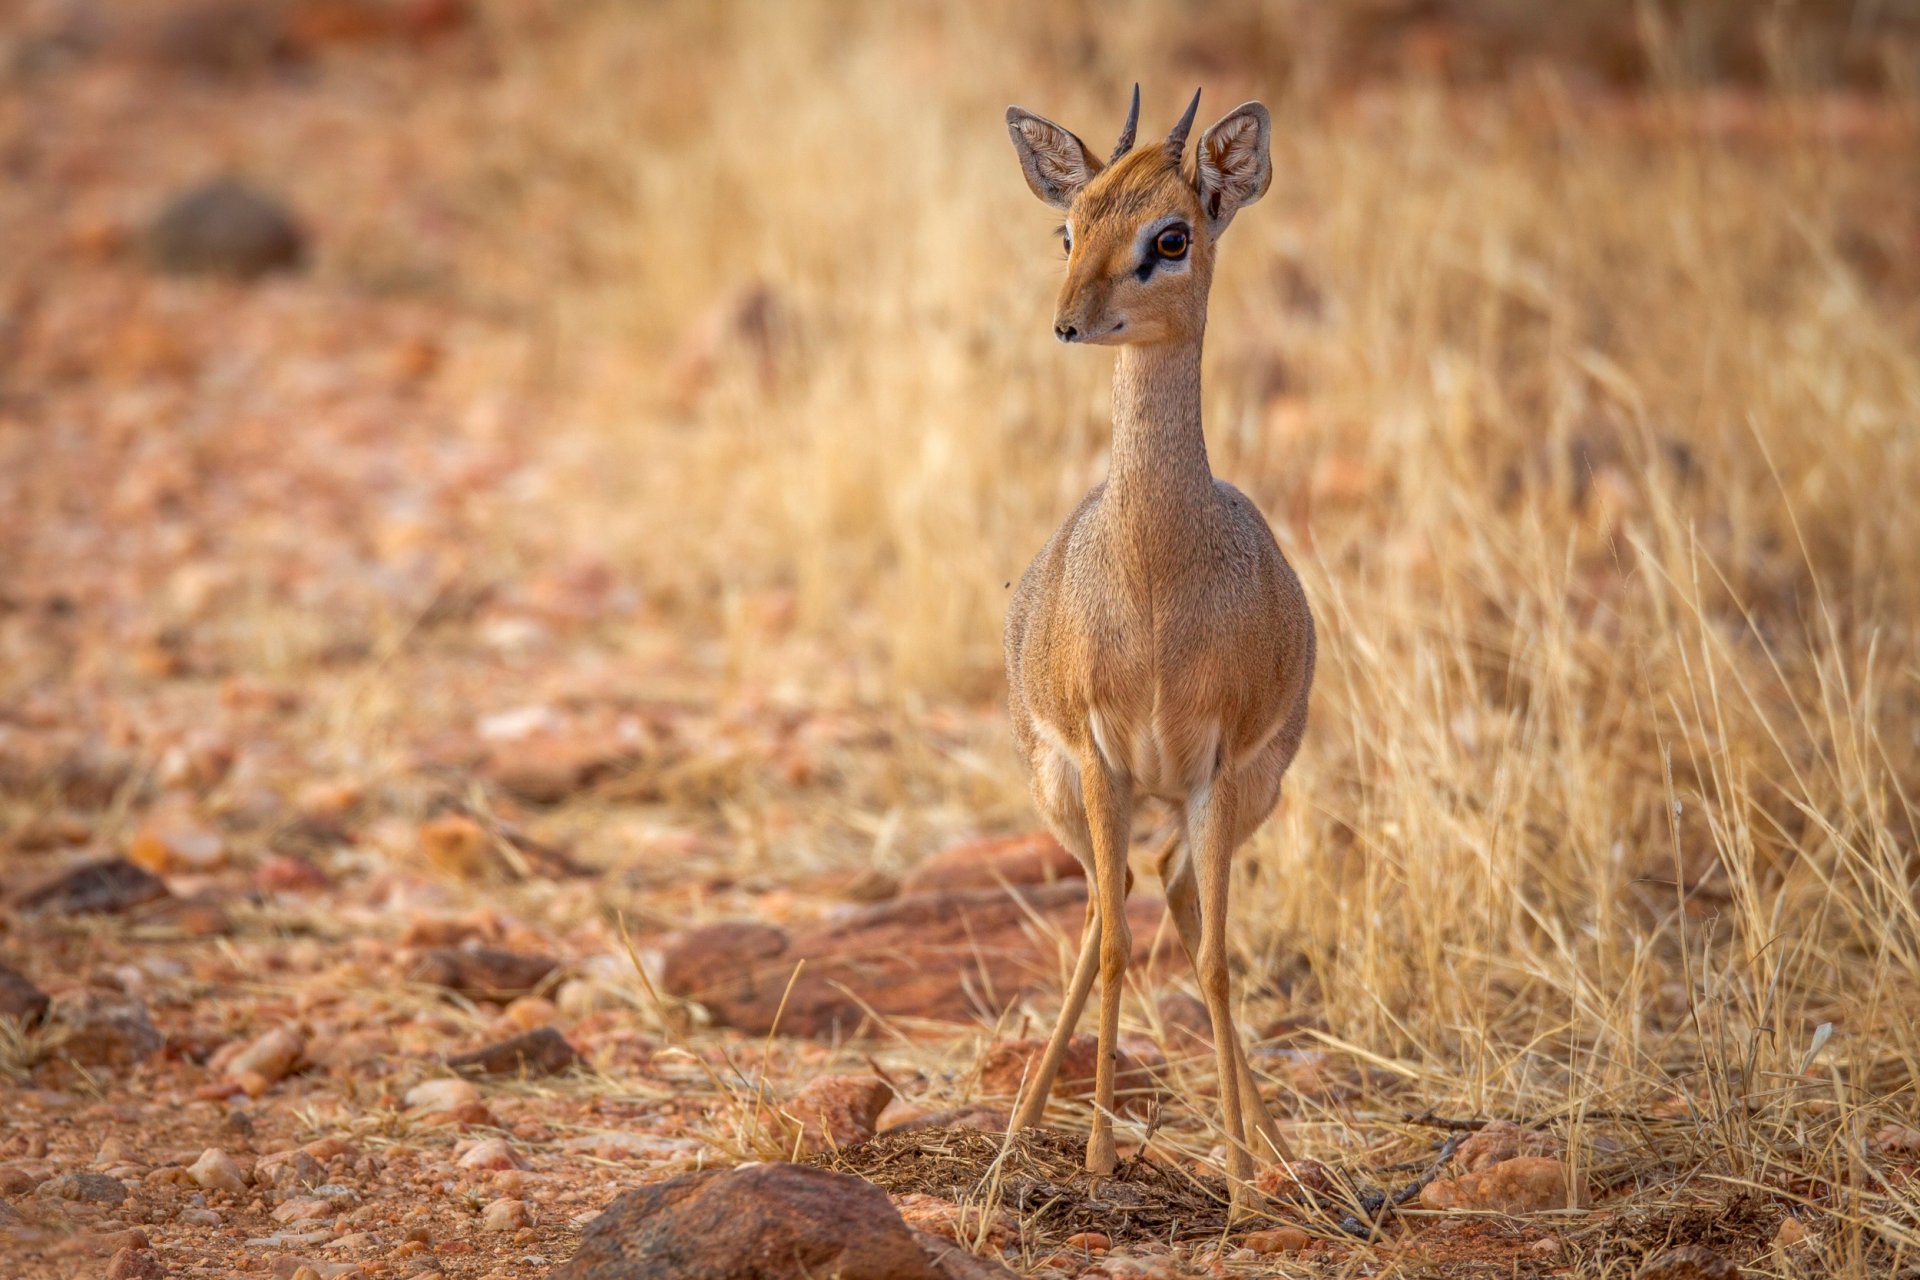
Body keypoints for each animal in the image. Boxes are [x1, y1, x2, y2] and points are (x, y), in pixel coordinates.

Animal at [998, 87, 1313, 1205]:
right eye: (1069, 224)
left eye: (1170, 236)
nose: (1066, 321)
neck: (1155, 584)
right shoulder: (1100, 755)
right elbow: (1118, 945)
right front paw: (1097, 1153)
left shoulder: (1216, 763)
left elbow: (1215, 959)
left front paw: (1239, 1171)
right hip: (1078, 788)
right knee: (1111, 908)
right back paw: (1024, 1125)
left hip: (1226, 796)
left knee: (1168, 895)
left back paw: (1270, 1146)